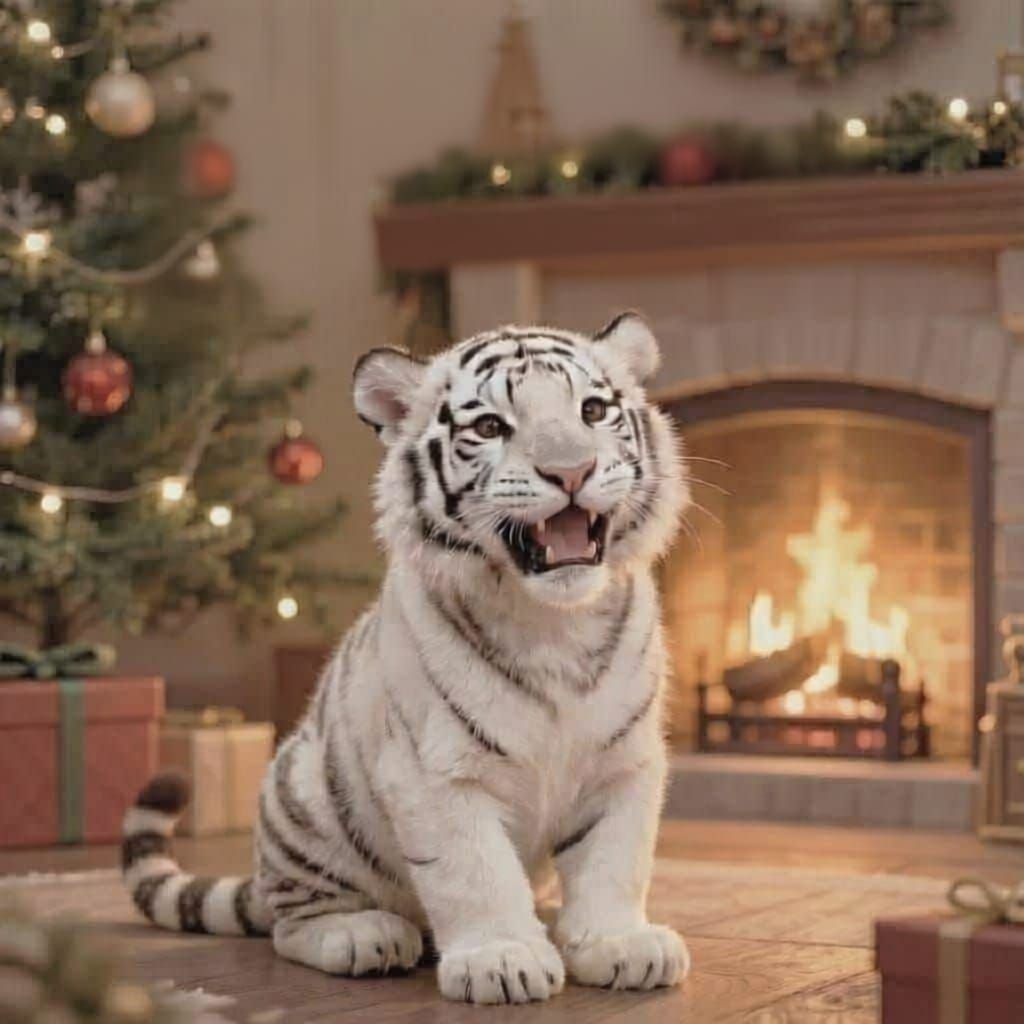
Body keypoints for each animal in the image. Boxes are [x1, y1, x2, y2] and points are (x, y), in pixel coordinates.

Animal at [121, 312, 692, 1005]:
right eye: (490, 427)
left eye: (592, 410)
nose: (572, 471)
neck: (554, 622)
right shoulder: (433, 771)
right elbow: (473, 871)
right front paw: (502, 958)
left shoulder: (625, 762)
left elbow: (616, 859)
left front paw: (618, 943)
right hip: (302, 794)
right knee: (292, 922)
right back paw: (364, 934)